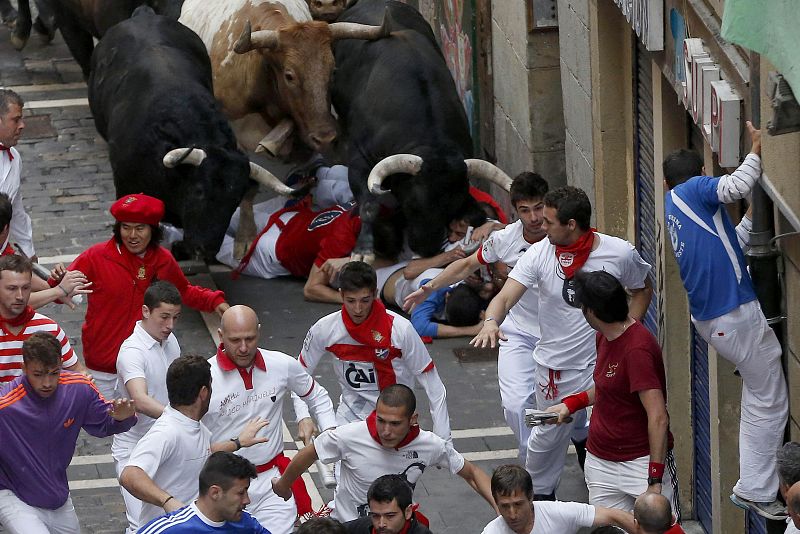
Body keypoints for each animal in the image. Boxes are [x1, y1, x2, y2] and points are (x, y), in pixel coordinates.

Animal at [332, 0, 512, 260]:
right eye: (413, 205)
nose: (427, 248)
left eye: (451, 210)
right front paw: (363, 250)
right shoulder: (359, 161)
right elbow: (369, 205)